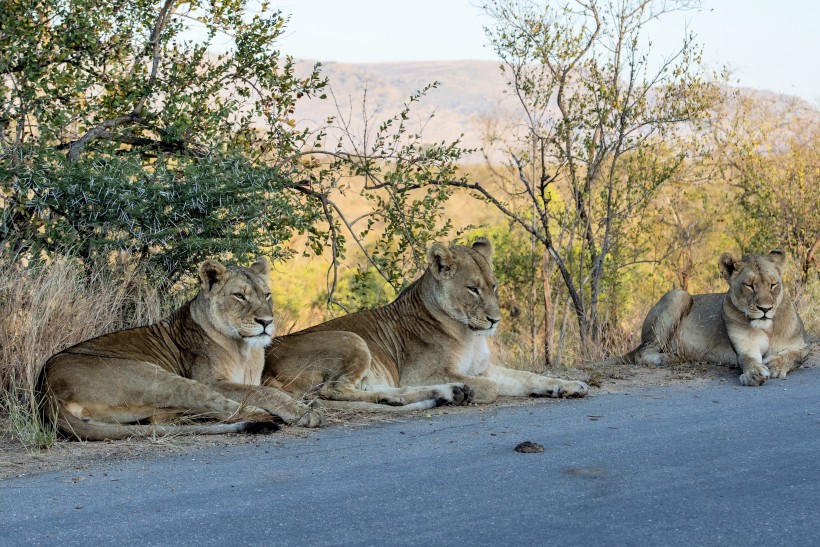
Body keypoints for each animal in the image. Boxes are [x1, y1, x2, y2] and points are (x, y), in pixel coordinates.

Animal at [38, 256, 322, 440]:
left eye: (267, 295)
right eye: (239, 296)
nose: (266, 322)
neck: (245, 349)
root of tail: (46, 390)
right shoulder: (213, 381)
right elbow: (264, 392)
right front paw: (302, 411)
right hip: (159, 379)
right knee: (221, 408)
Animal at [262, 238, 588, 408]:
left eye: (494, 286)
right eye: (473, 289)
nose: (495, 320)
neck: (470, 335)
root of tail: (266, 365)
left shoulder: (479, 368)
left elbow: (528, 377)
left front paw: (569, 386)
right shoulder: (422, 373)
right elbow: (492, 387)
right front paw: (471, 392)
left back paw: (442, 394)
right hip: (352, 340)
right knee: (334, 391)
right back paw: (448, 393)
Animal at [620, 250, 804, 388]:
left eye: (773, 284)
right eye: (749, 286)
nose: (765, 309)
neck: (766, 327)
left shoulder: (802, 345)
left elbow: (795, 356)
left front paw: (775, 365)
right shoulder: (745, 348)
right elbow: (749, 360)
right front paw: (753, 374)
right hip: (679, 294)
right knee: (642, 353)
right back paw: (672, 357)